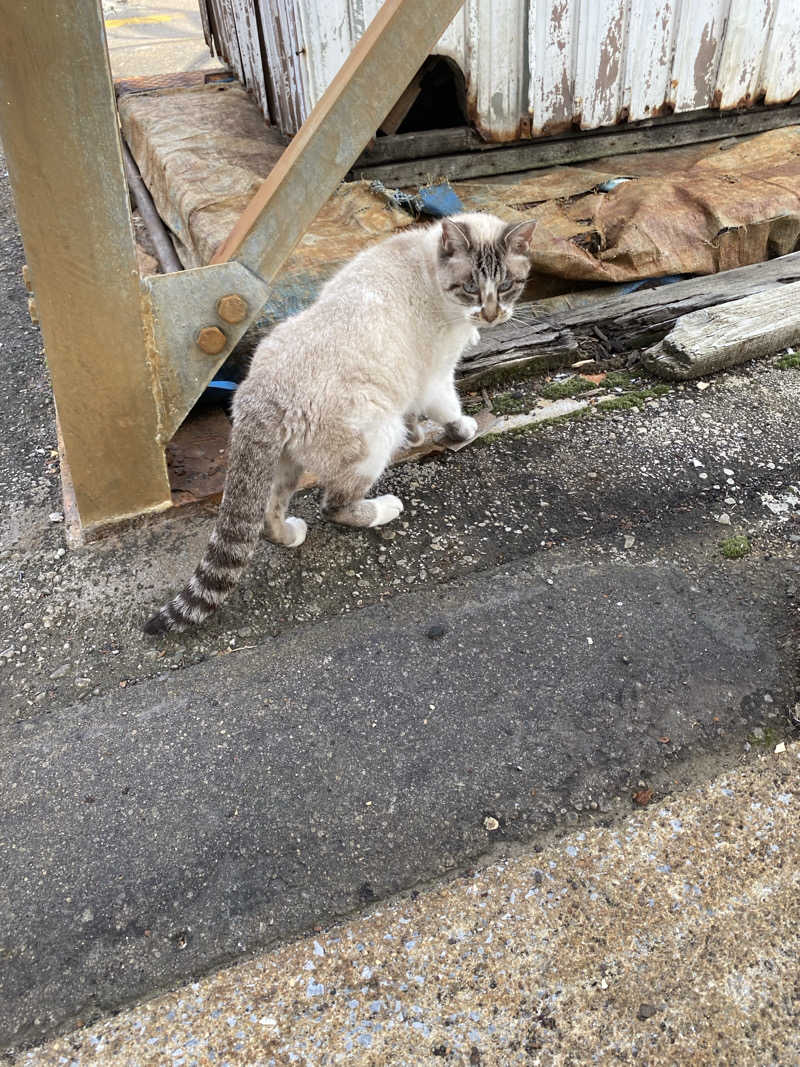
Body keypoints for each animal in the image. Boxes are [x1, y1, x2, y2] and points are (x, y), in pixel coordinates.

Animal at [146, 214, 535, 631]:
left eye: (507, 286)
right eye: (470, 288)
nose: (492, 315)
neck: (428, 266)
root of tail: (260, 392)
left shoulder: (407, 381)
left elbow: (414, 415)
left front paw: (416, 437)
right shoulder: (434, 377)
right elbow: (448, 408)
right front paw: (462, 429)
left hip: (285, 463)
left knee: (266, 516)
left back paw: (291, 534)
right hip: (375, 437)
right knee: (333, 506)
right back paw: (384, 509)